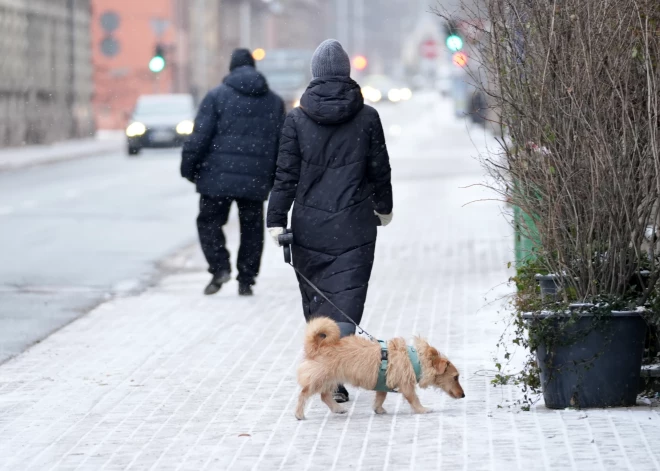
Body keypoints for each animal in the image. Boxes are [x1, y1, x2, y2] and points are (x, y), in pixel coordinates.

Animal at [294, 318, 464, 420]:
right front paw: (422, 410)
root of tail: (317, 346)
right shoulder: (406, 385)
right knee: (304, 394)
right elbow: (414, 399)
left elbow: (380, 398)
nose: (463, 395)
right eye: (455, 377)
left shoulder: (383, 383)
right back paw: (299, 414)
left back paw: (337, 408)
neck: (416, 360)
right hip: (319, 379)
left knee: (324, 396)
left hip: (330, 379)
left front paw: (378, 409)